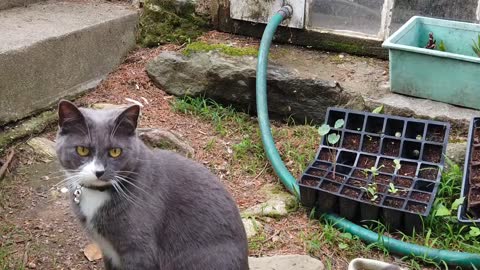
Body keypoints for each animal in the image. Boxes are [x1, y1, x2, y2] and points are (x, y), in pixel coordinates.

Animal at [55, 100, 248, 270]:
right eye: (82, 150)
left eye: (115, 152)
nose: (99, 172)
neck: (97, 195)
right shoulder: (108, 252)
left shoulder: (139, 251)